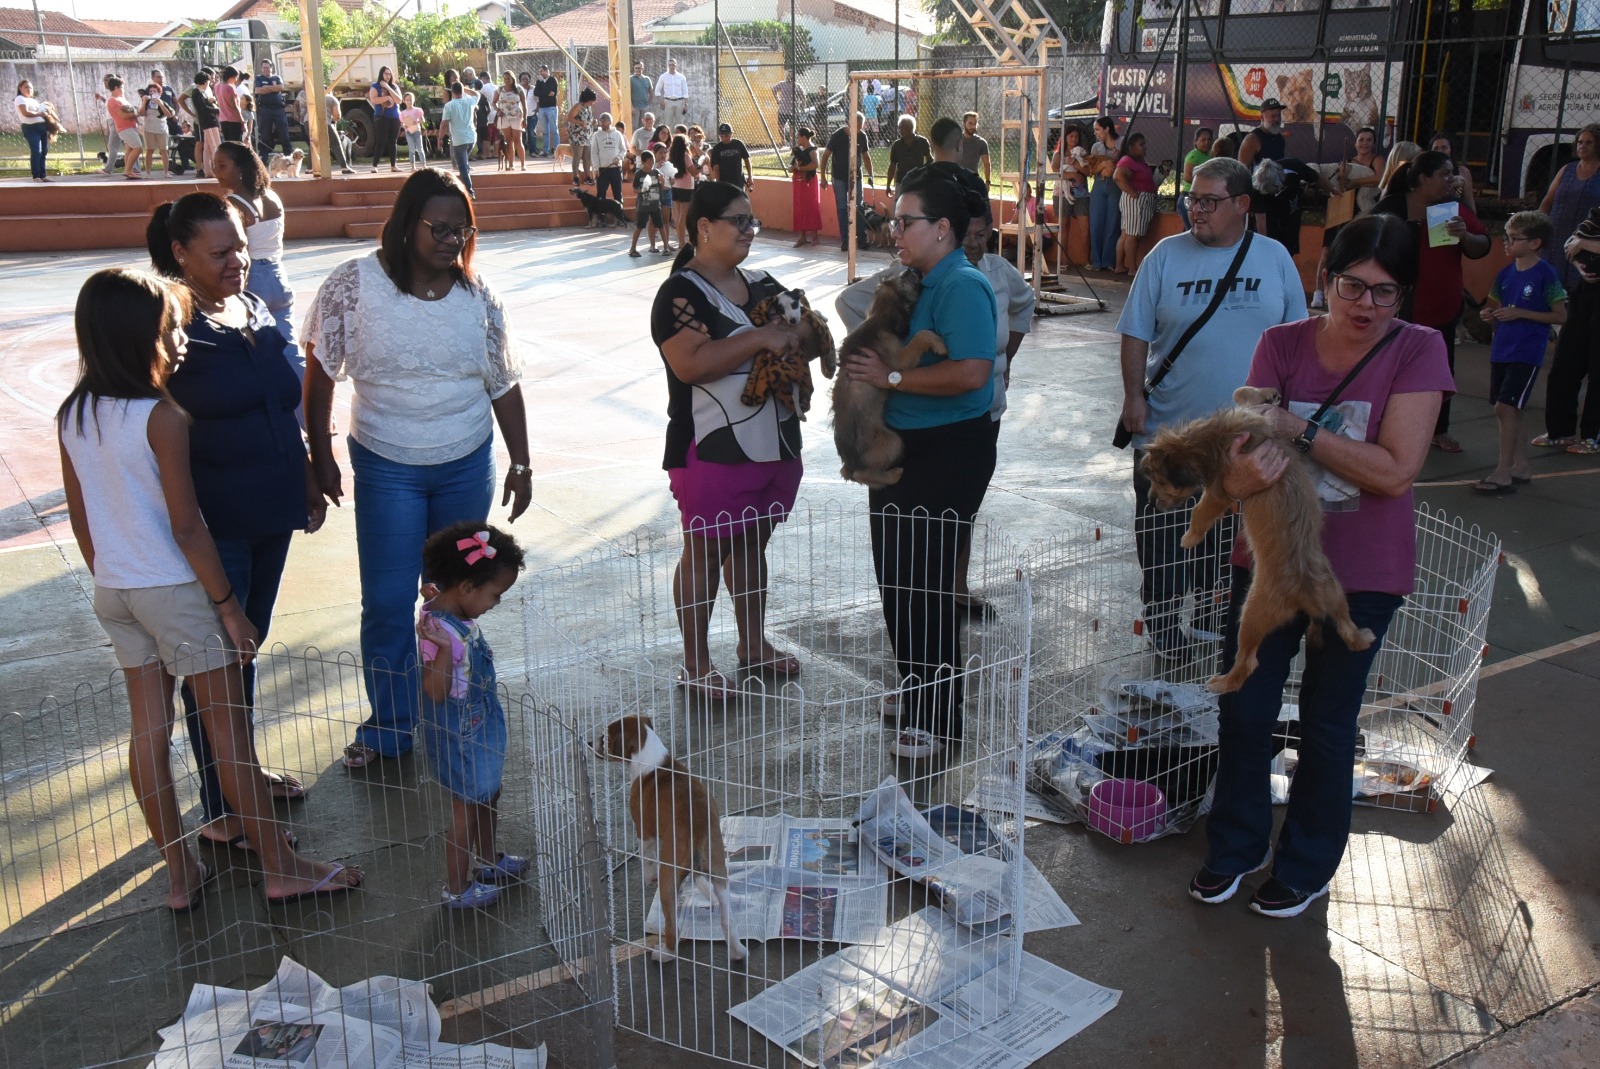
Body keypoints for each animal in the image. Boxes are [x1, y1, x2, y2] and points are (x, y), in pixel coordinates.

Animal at [592, 713, 745, 966]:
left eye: (606, 736)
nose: (590, 742)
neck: (651, 756)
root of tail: (698, 828)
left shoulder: (644, 830)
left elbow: (646, 857)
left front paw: (647, 877)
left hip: (668, 877)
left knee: (672, 926)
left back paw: (665, 953)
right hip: (719, 868)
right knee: (727, 917)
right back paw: (737, 951)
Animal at [1139, 384, 1376, 694]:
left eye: (1160, 482)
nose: (1152, 503)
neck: (1213, 436)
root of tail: (1307, 593)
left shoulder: (1220, 489)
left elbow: (1201, 511)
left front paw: (1189, 538)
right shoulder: (1254, 418)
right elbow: (1242, 394)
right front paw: (1268, 394)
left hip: (1251, 614)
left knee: (1248, 663)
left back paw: (1223, 683)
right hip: (1336, 594)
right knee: (1346, 627)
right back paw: (1363, 637)